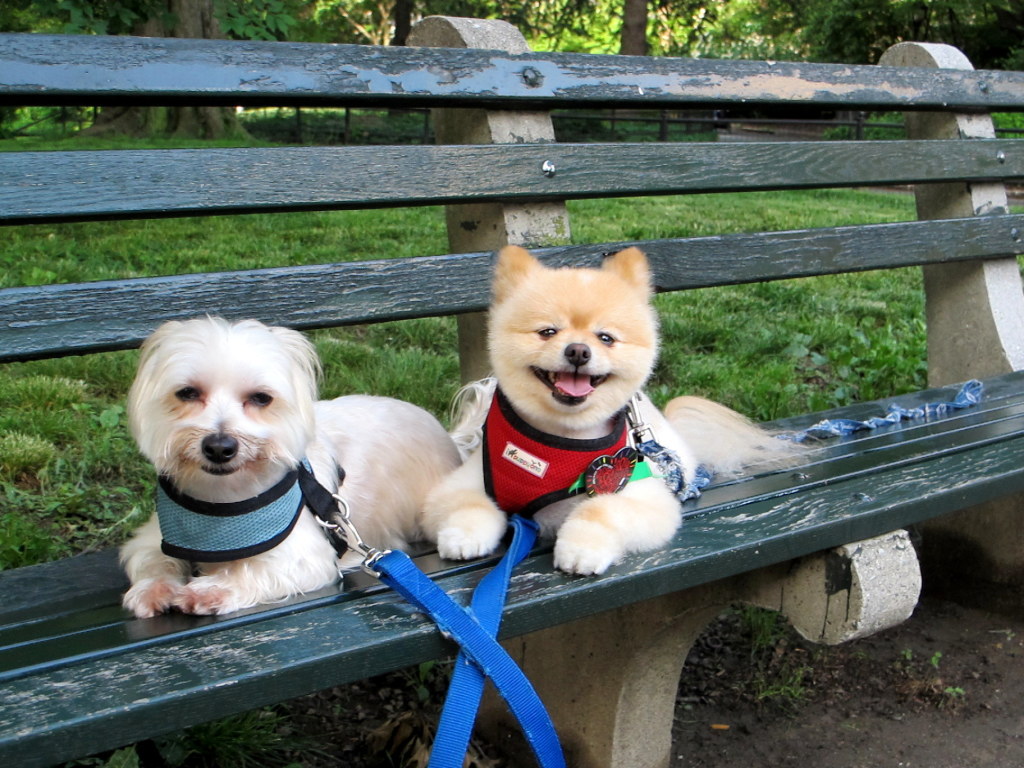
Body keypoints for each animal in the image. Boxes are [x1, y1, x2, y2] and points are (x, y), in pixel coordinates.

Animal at [116, 319, 460, 618]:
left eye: (261, 398)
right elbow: (151, 559)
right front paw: (154, 589)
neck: (221, 497)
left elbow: (254, 568)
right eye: (187, 392)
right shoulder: (153, 538)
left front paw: (210, 589)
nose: (219, 447)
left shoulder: (305, 556)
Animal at [419, 246, 794, 577]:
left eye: (606, 338)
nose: (578, 351)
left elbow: (601, 509)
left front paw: (581, 549)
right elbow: (467, 504)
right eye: (548, 332)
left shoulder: (643, 495)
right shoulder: (463, 484)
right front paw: (463, 536)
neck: (561, 435)